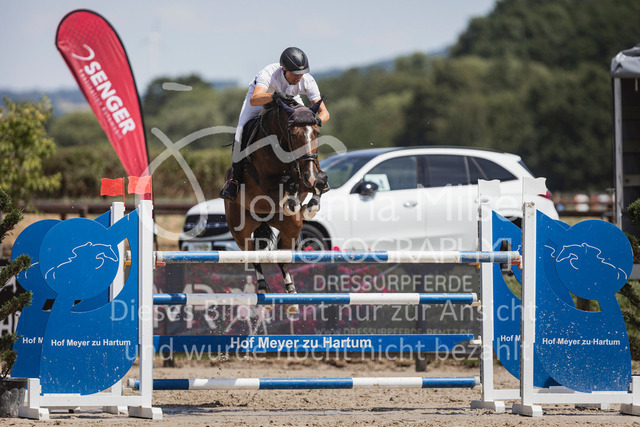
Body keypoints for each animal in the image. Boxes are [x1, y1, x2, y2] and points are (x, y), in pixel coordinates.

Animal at [223, 97, 329, 314]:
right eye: (293, 135)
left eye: (316, 132)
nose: (309, 174)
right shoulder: (266, 183)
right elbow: (287, 183)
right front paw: (292, 201)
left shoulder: (308, 174)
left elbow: (320, 181)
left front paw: (309, 207)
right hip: (240, 230)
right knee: (252, 255)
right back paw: (264, 288)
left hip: (291, 228)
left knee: (282, 258)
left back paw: (291, 295)